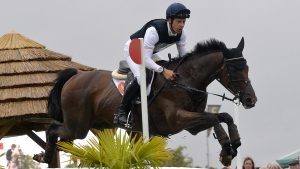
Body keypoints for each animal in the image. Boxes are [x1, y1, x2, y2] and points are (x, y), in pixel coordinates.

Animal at [34, 37, 256, 166]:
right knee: (53, 131)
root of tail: (75, 76)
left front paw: (234, 144)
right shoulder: (177, 119)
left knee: (64, 141)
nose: (250, 100)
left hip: (99, 126)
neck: (186, 81)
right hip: (78, 125)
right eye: (236, 69)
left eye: (247, 68)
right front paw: (226, 149)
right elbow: (213, 118)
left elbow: (223, 116)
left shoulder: (192, 125)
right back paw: (44, 157)